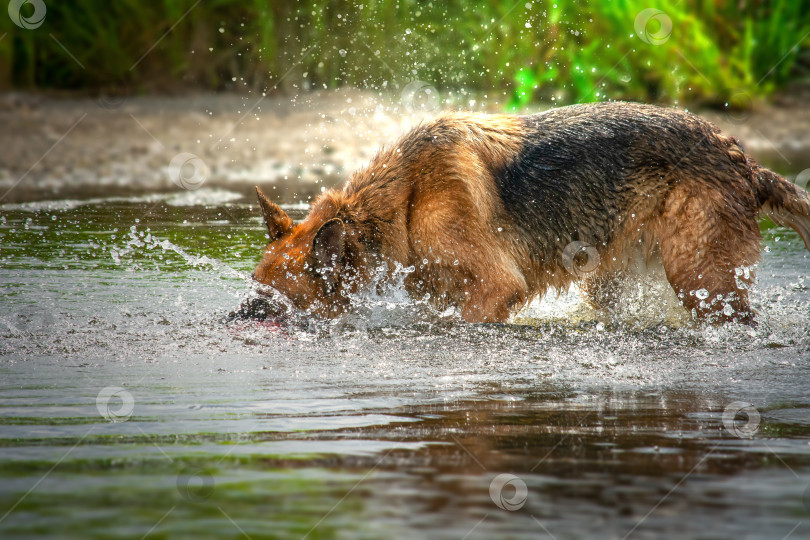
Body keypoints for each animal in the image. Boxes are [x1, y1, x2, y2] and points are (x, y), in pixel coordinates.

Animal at [249, 102, 804, 324]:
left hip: (701, 280)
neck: (402, 199)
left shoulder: (497, 288)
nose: (237, 317)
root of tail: (743, 160)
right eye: (253, 290)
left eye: (275, 303)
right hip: (611, 280)